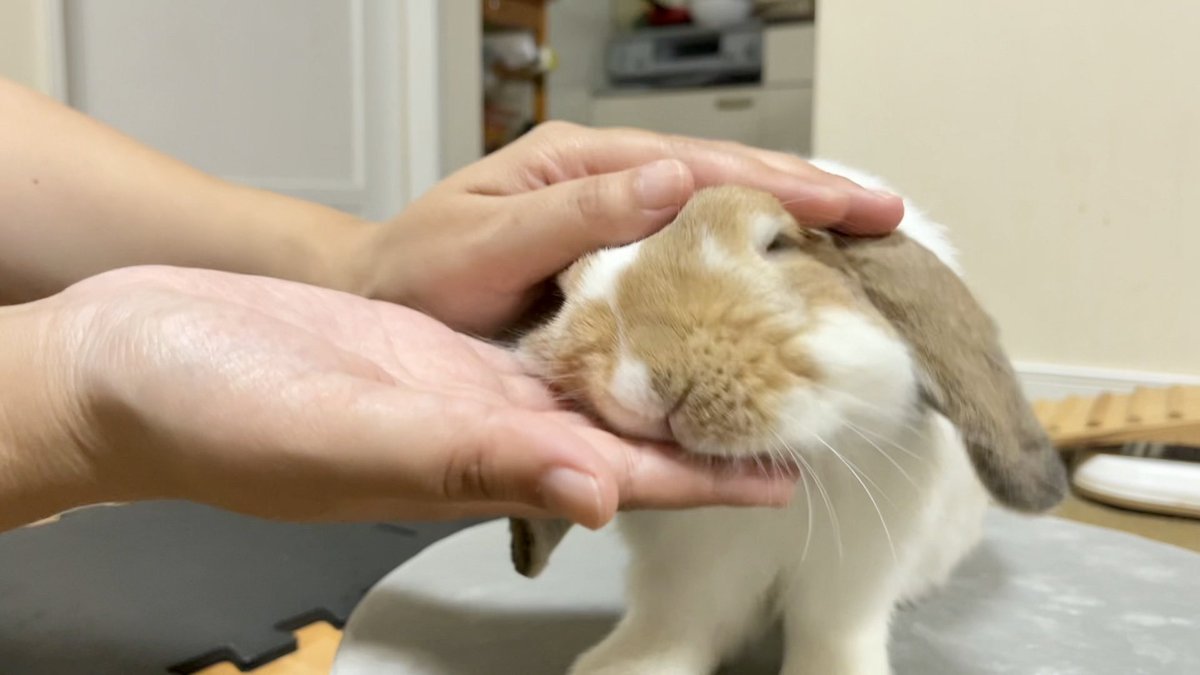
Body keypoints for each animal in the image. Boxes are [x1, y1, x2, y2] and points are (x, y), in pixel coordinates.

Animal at [506, 159, 1068, 675]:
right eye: (564, 290)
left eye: (778, 244)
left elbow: (833, 631)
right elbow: (676, 624)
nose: (645, 372)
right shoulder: (688, 572)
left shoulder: (851, 572)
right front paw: (625, 666)